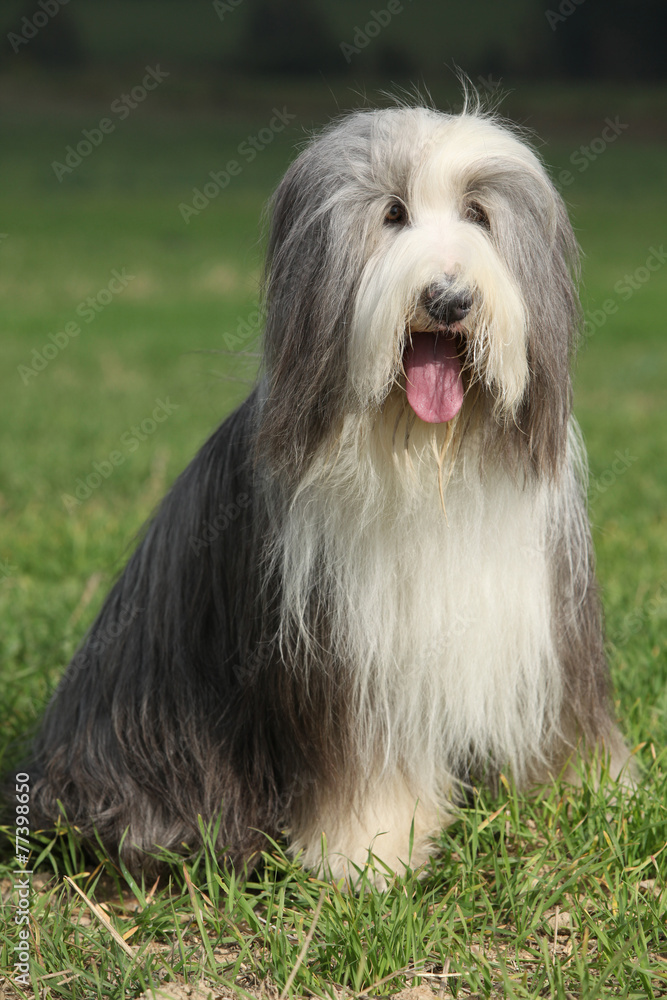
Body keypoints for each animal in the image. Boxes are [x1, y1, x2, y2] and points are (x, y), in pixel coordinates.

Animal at [27, 101, 632, 884]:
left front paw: (587, 789)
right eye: (392, 214)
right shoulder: (342, 652)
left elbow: (561, 725)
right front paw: (369, 854)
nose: (447, 298)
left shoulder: (548, 622)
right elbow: (366, 769)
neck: (426, 461)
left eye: (478, 213)